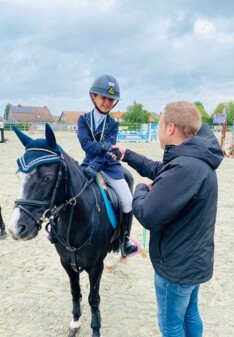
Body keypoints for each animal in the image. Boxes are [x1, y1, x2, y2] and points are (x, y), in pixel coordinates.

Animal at [8, 123, 133, 336]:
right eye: (19, 175)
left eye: (48, 177)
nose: (16, 228)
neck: (77, 223)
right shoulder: (67, 263)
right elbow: (75, 293)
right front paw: (75, 322)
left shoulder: (95, 267)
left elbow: (93, 299)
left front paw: (96, 328)